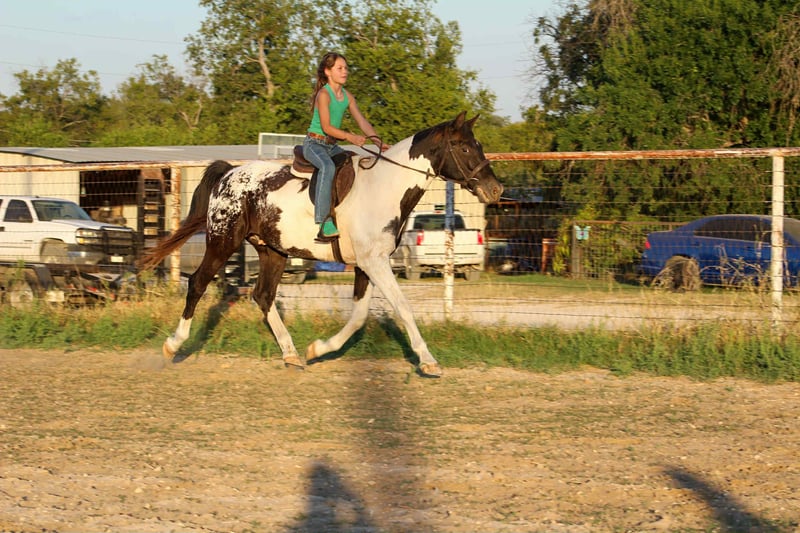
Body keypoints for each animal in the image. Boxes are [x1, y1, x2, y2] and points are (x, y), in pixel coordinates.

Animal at [140, 112, 503, 377]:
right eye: (466, 148)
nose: (495, 189)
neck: (385, 187)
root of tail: (229, 173)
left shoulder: (366, 264)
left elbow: (359, 316)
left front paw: (319, 348)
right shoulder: (375, 263)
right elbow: (403, 307)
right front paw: (428, 361)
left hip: (272, 251)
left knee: (263, 295)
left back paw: (291, 354)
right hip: (222, 242)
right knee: (198, 284)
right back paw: (173, 346)